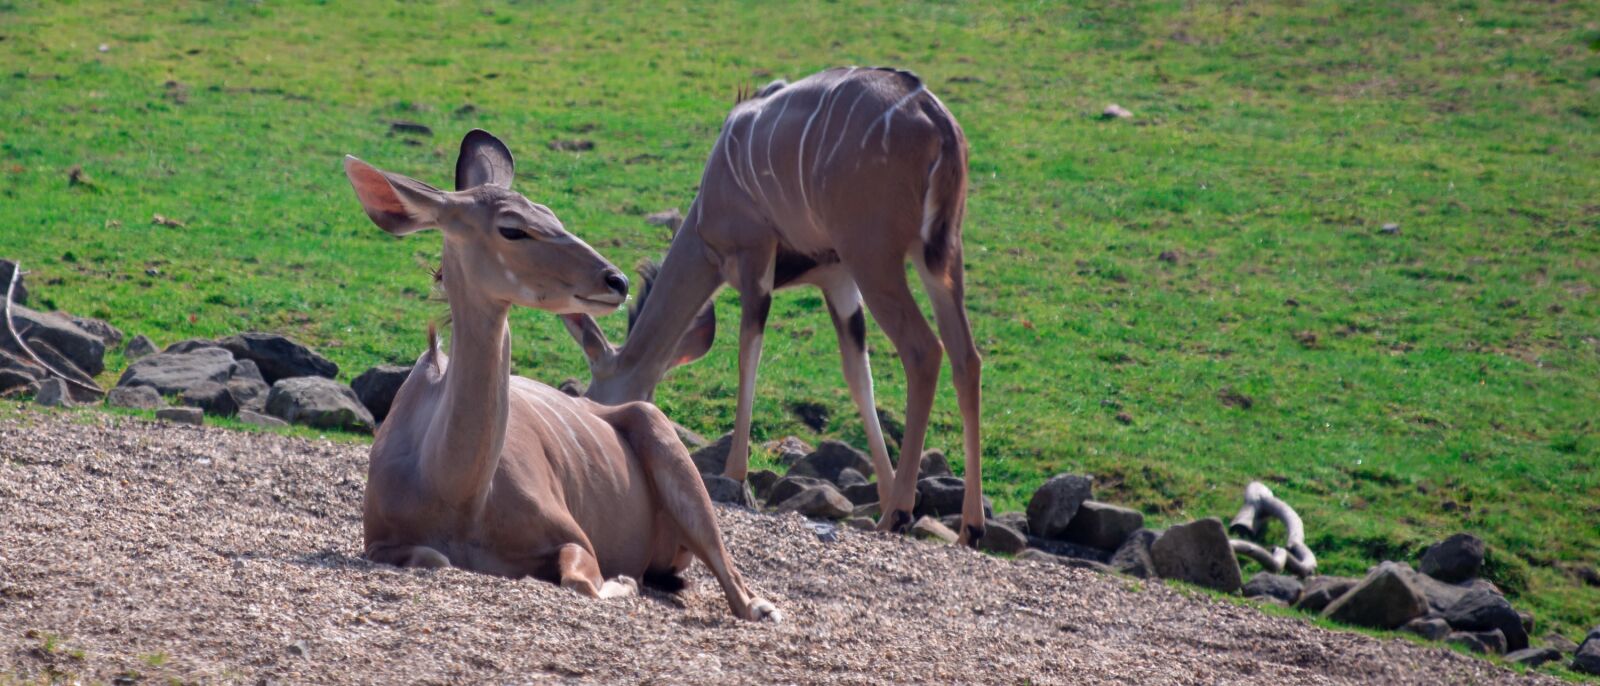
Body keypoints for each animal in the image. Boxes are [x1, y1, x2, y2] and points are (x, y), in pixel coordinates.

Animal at [345, 130, 779, 621]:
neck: (457, 495)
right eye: (512, 227)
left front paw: (622, 582)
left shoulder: (575, 539)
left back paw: (759, 606)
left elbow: (580, 580)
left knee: (737, 588)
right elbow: (435, 558)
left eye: (551, 214)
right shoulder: (379, 541)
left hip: (669, 451)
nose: (616, 281)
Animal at [562, 67, 985, 546]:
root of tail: (936, 121)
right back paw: (969, 526)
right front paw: (885, 485)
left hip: (876, 257)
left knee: (924, 350)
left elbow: (749, 352)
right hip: (940, 257)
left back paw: (895, 514)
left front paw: (735, 475)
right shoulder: (836, 276)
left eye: (594, 402)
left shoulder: (755, 258)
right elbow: (859, 376)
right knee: (966, 357)